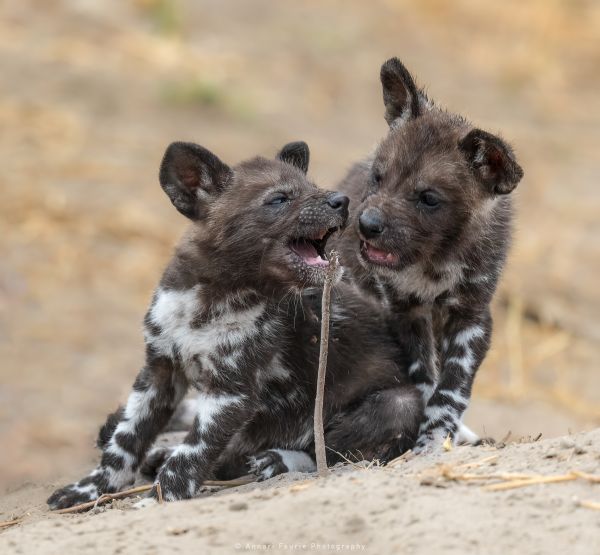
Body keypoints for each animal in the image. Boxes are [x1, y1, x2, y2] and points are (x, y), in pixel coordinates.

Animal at [48, 140, 352, 508]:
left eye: (313, 188)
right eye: (279, 199)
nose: (342, 200)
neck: (206, 302)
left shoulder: (229, 394)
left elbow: (189, 456)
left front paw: (157, 501)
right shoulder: (158, 374)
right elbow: (124, 442)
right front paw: (90, 489)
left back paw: (274, 460)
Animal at [338, 57, 524, 456]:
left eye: (428, 198)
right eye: (378, 177)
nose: (367, 225)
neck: (433, 260)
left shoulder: (471, 318)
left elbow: (450, 390)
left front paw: (436, 439)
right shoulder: (403, 313)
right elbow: (425, 384)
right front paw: (423, 441)